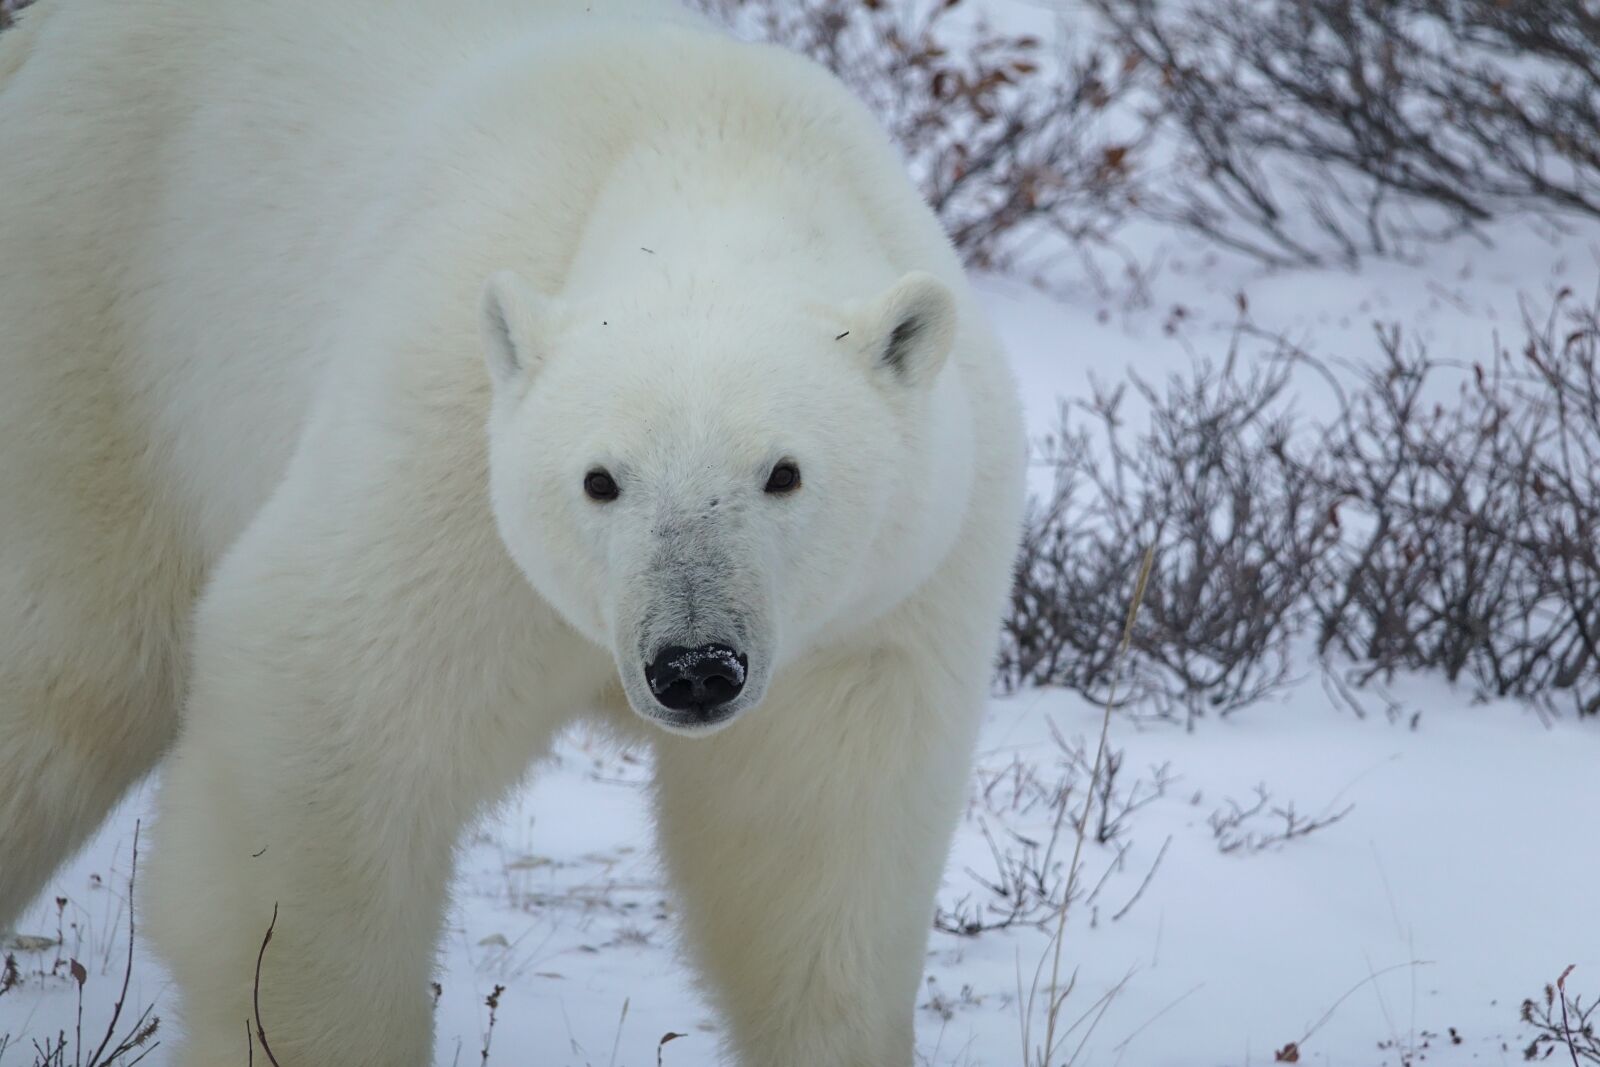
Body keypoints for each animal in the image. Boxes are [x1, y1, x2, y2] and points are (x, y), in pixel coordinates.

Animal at [0, 1, 1026, 1064]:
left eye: (783, 473)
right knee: (67, 673)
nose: (694, 665)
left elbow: (817, 849)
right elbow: (325, 729)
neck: (717, 150)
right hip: (97, 310)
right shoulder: (445, 459)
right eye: (600, 480)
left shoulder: (880, 607)